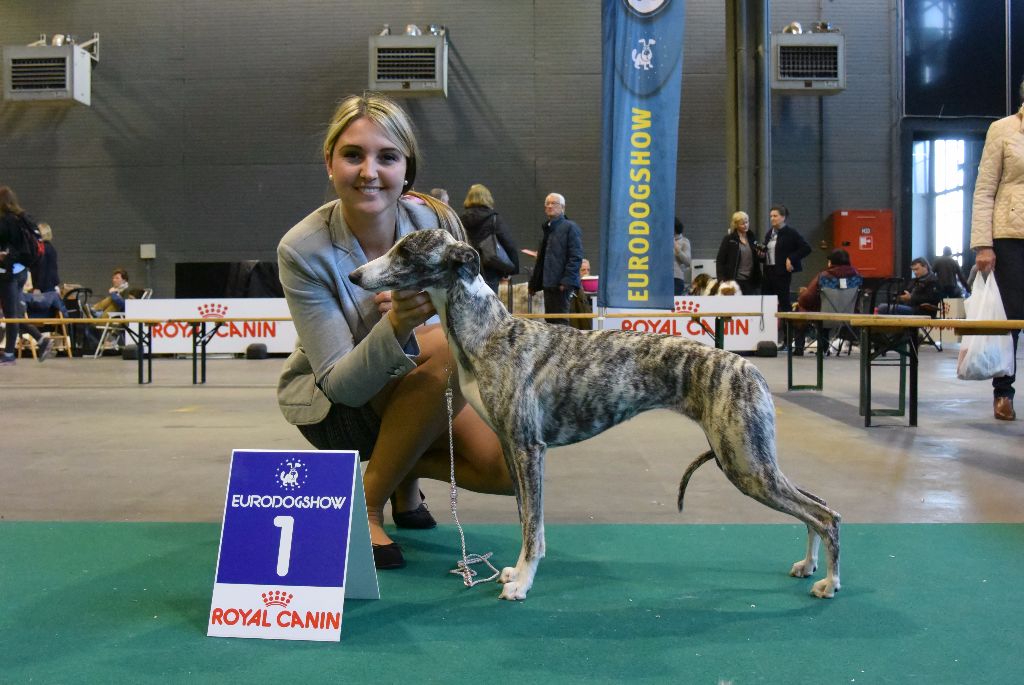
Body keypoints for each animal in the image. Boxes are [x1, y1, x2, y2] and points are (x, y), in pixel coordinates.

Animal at [350, 230, 840, 601]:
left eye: (406, 251)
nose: (355, 275)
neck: (490, 333)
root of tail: (748, 366)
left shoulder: (529, 448)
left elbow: (533, 526)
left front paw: (522, 583)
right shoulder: (511, 449)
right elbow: (527, 519)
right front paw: (515, 572)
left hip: (744, 461)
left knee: (826, 515)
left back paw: (829, 582)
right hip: (751, 456)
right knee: (816, 503)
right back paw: (808, 565)